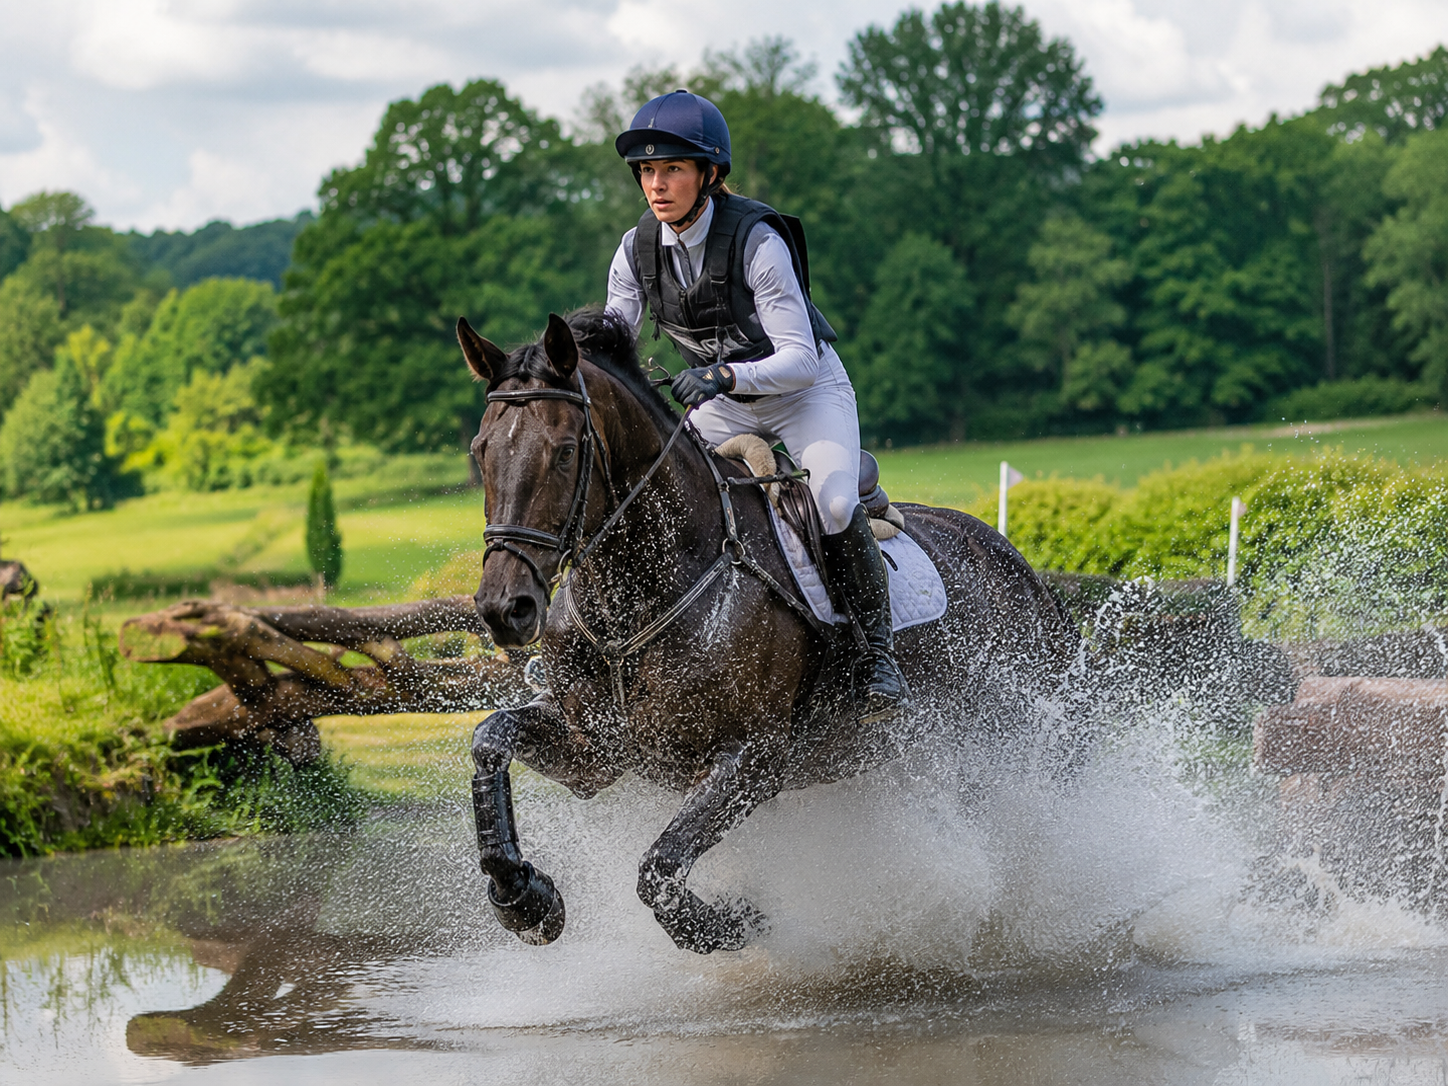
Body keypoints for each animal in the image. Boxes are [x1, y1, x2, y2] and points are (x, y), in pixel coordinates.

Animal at [458, 307, 1080, 954]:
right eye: (481, 451)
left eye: (563, 452)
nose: (505, 607)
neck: (639, 595)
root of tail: (1020, 567)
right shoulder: (596, 754)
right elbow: (491, 738)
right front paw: (523, 899)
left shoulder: (756, 758)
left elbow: (659, 870)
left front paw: (736, 922)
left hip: (1020, 741)